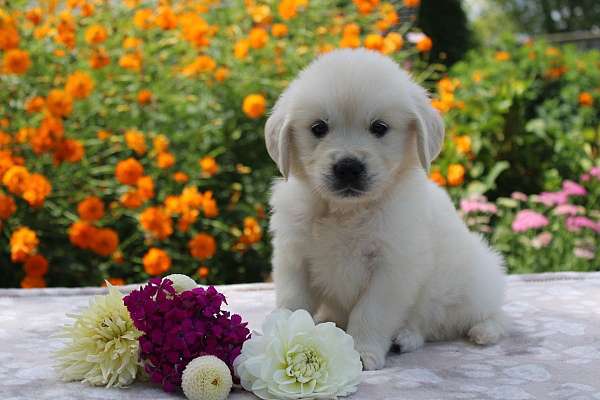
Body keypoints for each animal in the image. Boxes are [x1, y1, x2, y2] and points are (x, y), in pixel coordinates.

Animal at [268, 48, 506, 370]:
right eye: (318, 128)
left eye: (379, 128)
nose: (348, 167)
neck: (347, 211)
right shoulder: (294, 257)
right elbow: (293, 304)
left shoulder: (392, 267)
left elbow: (371, 312)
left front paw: (361, 352)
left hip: (477, 281)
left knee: (487, 315)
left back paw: (478, 331)